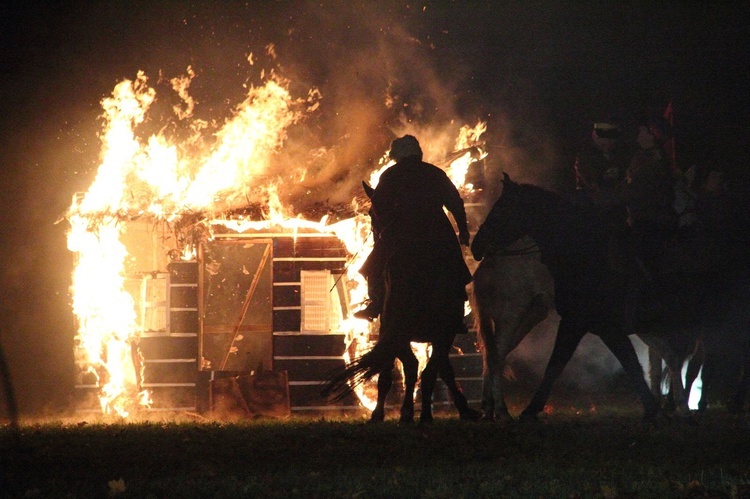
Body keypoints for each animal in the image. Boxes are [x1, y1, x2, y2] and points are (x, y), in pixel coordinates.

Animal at [324, 182, 482, 424]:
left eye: (372, 213)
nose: (377, 233)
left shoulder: (394, 333)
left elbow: (395, 371)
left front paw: (381, 413)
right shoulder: (439, 335)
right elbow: (441, 370)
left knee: (414, 367)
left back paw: (409, 412)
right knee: (423, 370)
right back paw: (421, 414)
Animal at [472, 174, 668, 420]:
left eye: (501, 208)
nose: (476, 245)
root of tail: (485, 266)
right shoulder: (585, 323)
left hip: (529, 315)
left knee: (494, 357)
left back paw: (491, 409)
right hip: (510, 316)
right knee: (495, 357)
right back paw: (500, 410)